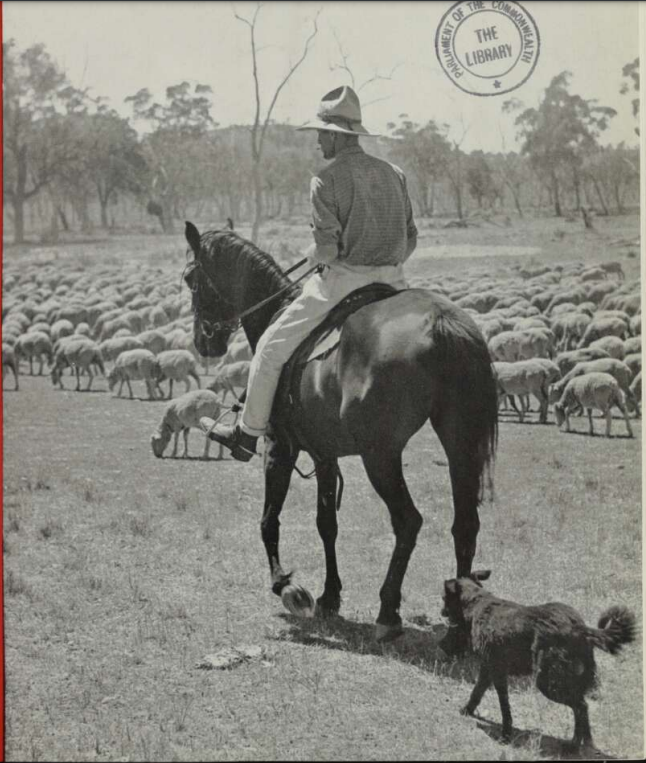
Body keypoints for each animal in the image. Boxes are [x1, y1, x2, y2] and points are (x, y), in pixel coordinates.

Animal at [185, 222, 498, 644]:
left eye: (191, 279)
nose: (204, 342)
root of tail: (442, 322)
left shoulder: (279, 447)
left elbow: (269, 519)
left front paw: (287, 586)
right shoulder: (325, 455)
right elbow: (326, 524)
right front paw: (330, 596)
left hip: (380, 456)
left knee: (408, 521)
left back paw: (388, 612)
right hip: (458, 445)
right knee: (464, 524)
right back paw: (457, 628)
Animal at [440, 572, 636, 748]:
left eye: (444, 598)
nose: (441, 612)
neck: (478, 602)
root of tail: (579, 628)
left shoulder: (497, 672)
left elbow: (504, 707)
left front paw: (506, 734)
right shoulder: (488, 669)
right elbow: (477, 692)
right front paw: (468, 710)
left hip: (548, 682)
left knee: (580, 706)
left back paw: (574, 745)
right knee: (582, 707)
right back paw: (583, 742)